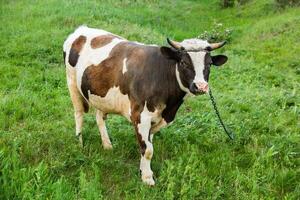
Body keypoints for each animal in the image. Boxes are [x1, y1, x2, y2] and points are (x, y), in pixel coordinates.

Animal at [62, 25, 227, 185]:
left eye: (209, 64)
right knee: (78, 113)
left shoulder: (158, 118)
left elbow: (148, 144)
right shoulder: (140, 116)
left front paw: (143, 171)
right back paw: (80, 142)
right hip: (72, 83)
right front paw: (147, 178)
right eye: (183, 62)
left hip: (101, 95)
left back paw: (107, 145)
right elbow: (147, 149)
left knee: (99, 117)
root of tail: (81, 29)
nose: (201, 86)